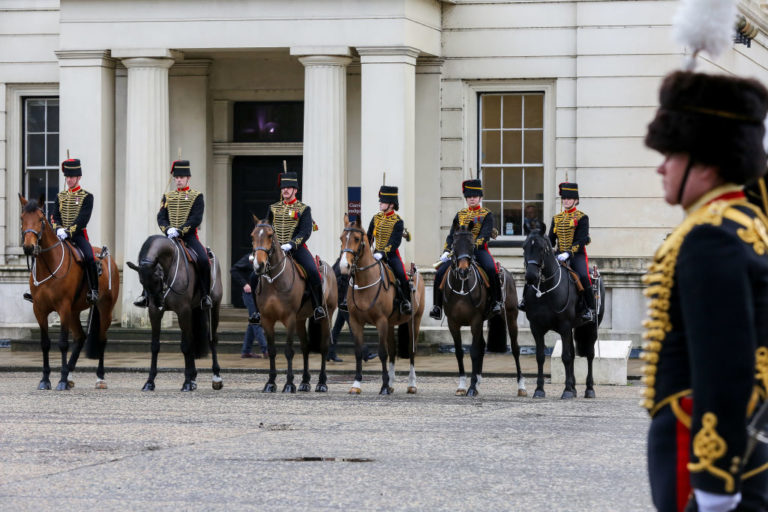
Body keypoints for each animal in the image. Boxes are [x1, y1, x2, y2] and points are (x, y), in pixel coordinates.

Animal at [19, 194, 119, 390]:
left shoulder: (63, 308)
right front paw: (45, 379)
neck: (48, 266)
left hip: (105, 309)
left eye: (41, 219)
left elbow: (63, 343)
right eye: (22, 218)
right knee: (80, 337)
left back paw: (99, 378)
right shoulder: (39, 310)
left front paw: (62, 380)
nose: (28, 247)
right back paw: (71, 373)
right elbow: (45, 344)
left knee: (101, 339)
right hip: (74, 311)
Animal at [252, 216, 336, 392]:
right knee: (305, 347)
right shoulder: (267, 319)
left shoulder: (289, 318)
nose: (258, 265)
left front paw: (289, 384)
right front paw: (270, 383)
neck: (274, 280)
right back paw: (304, 382)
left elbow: (289, 351)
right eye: (252, 236)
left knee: (324, 347)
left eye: (270, 235)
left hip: (327, 315)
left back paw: (322, 383)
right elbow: (272, 350)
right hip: (300, 319)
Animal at [340, 214, 428, 394]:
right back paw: (392, 383)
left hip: (414, 320)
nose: (344, 266)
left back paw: (411, 384)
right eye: (341, 238)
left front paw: (384, 386)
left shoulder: (380, 321)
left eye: (357, 238)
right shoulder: (356, 321)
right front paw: (356, 384)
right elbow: (359, 352)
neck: (365, 281)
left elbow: (382, 352)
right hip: (391, 323)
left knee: (412, 350)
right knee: (393, 351)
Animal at [440, 226, 524, 398]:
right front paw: (462, 385)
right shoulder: (453, 323)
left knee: (515, 348)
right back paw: (478, 380)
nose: (463, 271)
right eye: (454, 244)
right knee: (483, 345)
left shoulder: (475, 321)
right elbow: (459, 351)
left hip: (511, 317)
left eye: (472, 245)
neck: (462, 286)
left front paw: (471, 387)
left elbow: (473, 351)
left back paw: (521, 386)